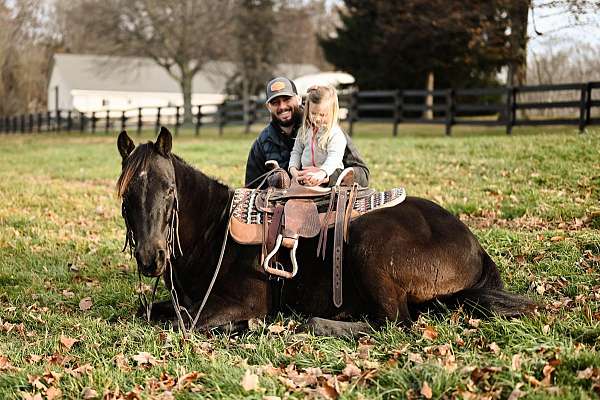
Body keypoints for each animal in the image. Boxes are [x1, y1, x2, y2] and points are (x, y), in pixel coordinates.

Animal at [117, 127, 536, 334]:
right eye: (126, 196)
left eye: (169, 190)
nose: (151, 258)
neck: (214, 234)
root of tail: (473, 245)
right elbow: (149, 312)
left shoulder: (240, 302)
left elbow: (183, 323)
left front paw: (244, 325)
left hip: (370, 247)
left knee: (394, 323)